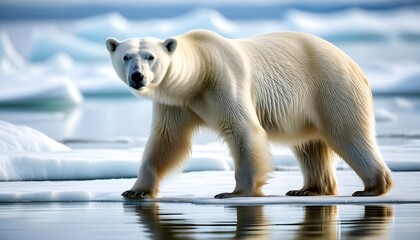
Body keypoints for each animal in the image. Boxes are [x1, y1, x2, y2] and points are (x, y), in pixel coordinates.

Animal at [106, 29, 394, 199]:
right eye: (126, 56)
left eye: (150, 57)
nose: (137, 76)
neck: (198, 75)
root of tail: (353, 63)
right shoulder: (176, 104)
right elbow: (167, 141)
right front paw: (136, 190)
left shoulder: (223, 82)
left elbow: (243, 130)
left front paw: (235, 192)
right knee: (310, 145)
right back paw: (308, 190)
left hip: (331, 88)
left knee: (347, 134)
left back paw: (372, 187)